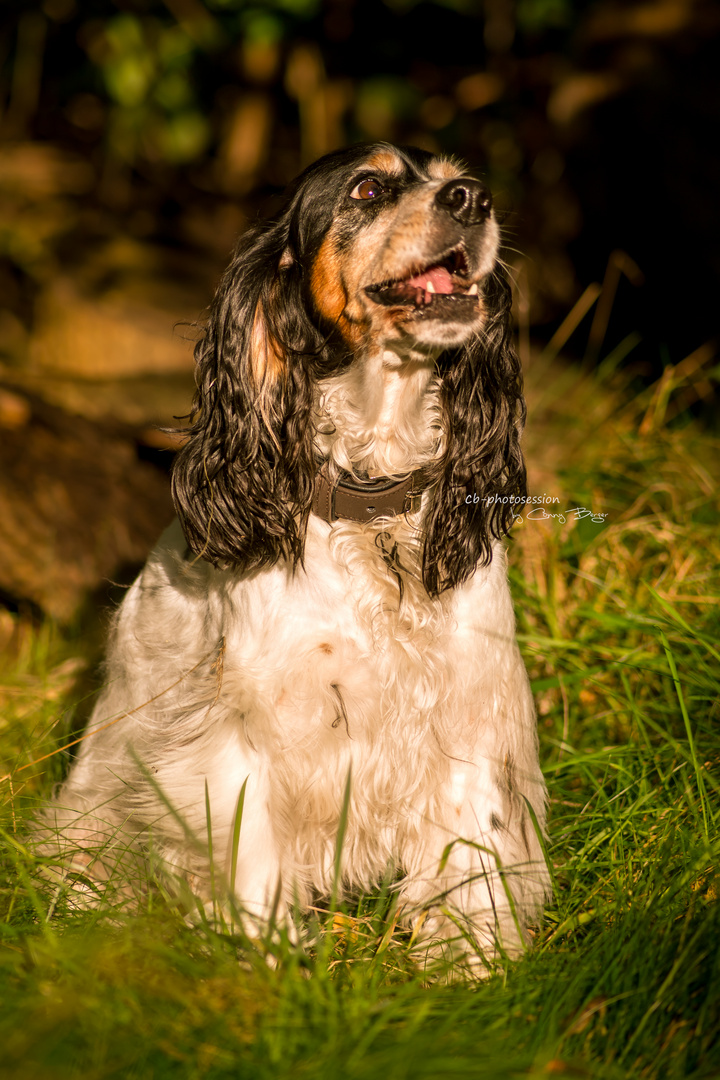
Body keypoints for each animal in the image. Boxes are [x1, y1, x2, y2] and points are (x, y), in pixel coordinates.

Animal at [43, 145, 552, 972]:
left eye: (457, 173)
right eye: (368, 188)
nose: (472, 198)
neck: (372, 502)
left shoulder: (469, 705)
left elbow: (474, 847)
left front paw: (473, 961)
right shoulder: (245, 728)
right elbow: (248, 856)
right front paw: (265, 965)